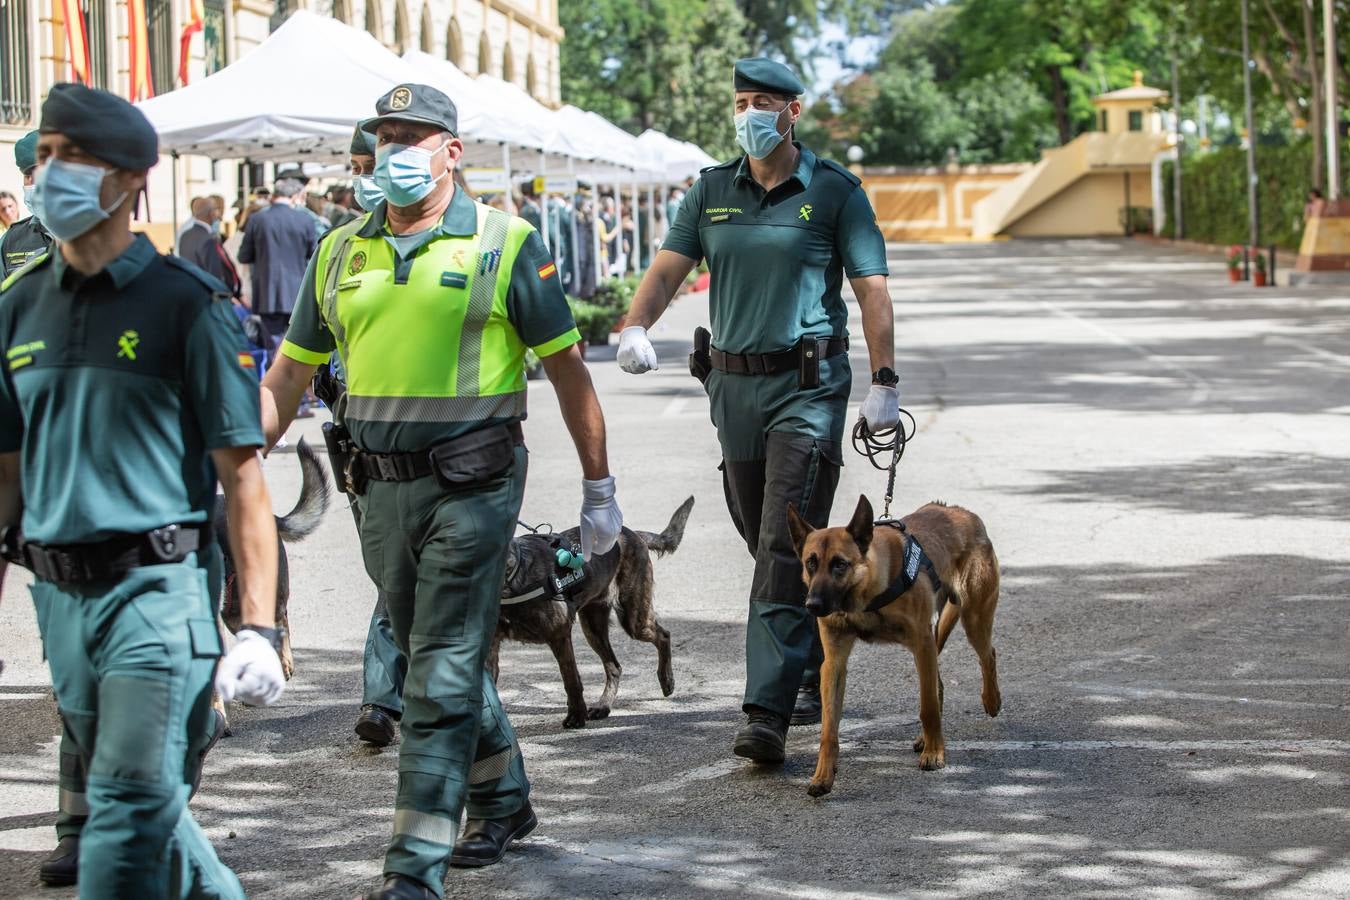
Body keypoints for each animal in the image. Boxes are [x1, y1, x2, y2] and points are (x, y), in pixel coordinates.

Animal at [491, 499, 691, 734]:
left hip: (634, 618)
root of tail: (631, 533)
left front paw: (576, 716)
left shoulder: (559, 636)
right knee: (614, 667)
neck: (513, 576)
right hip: (593, 626)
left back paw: (666, 680)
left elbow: (571, 680)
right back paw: (603, 706)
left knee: (663, 635)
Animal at [788, 496, 999, 798]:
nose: (812, 605)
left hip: (973, 619)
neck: (868, 593)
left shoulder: (922, 644)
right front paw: (823, 775)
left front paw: (935, 754)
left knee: (987, 655)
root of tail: (962, 513)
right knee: (939, 684)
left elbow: (927, 706)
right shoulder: (834, 664)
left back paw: (991, 701)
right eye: (810, 563)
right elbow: (828, 730)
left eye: (840, 564)